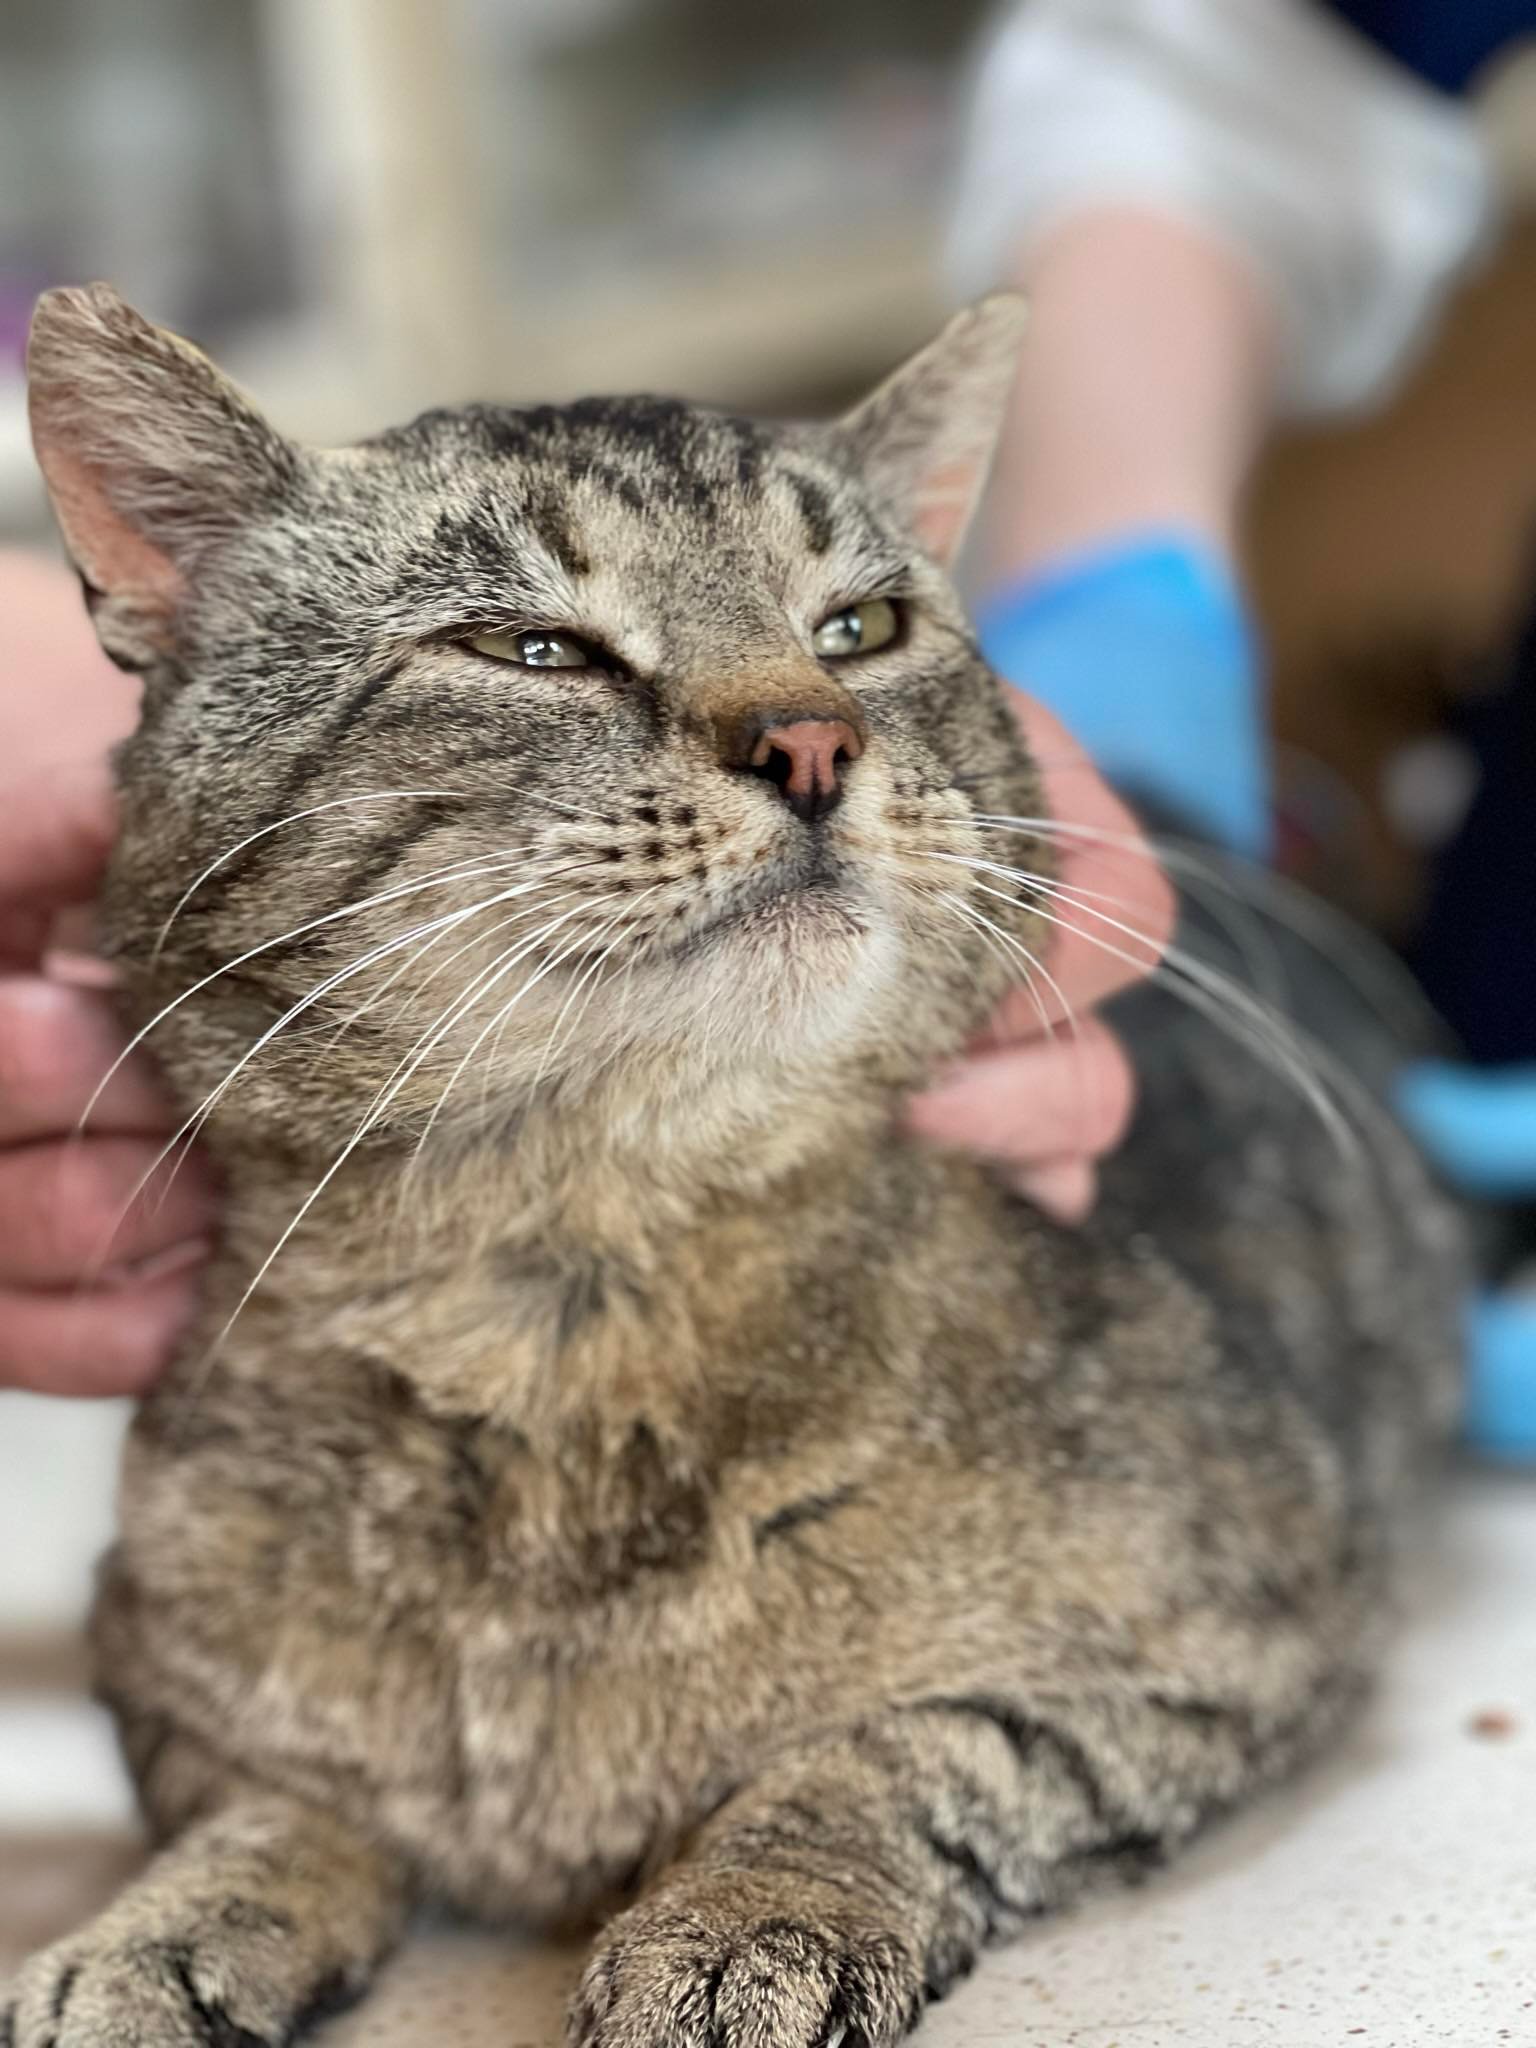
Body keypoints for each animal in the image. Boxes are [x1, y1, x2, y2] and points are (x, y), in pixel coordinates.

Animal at [5, 283, 1463, 2048]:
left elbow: (905, 1752)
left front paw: (753, 1912)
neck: (575, 1306)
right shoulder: (171, 1693)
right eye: (534, 648)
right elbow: (267, 1811)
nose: (813, 740)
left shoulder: (1232, 1637)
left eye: (860, 629)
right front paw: (153, 1932)